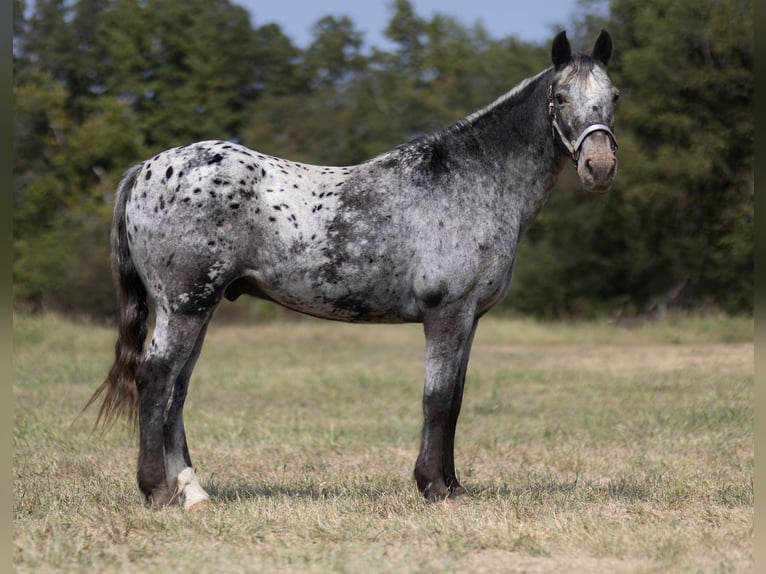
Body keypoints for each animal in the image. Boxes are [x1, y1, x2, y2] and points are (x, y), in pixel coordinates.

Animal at [87, 29, 620, 510]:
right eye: (559, 96)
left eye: (613, 96)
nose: (598, 167)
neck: (472, 179)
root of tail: (145, 169)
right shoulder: (447, 314)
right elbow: (437, 400)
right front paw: (432, 486)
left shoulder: (469, 318)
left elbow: (455, 401)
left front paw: (453, 486)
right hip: (184, 307)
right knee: (155, 380)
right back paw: (156, 491)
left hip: (198, 309)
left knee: (176, 391)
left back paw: (194, 493)